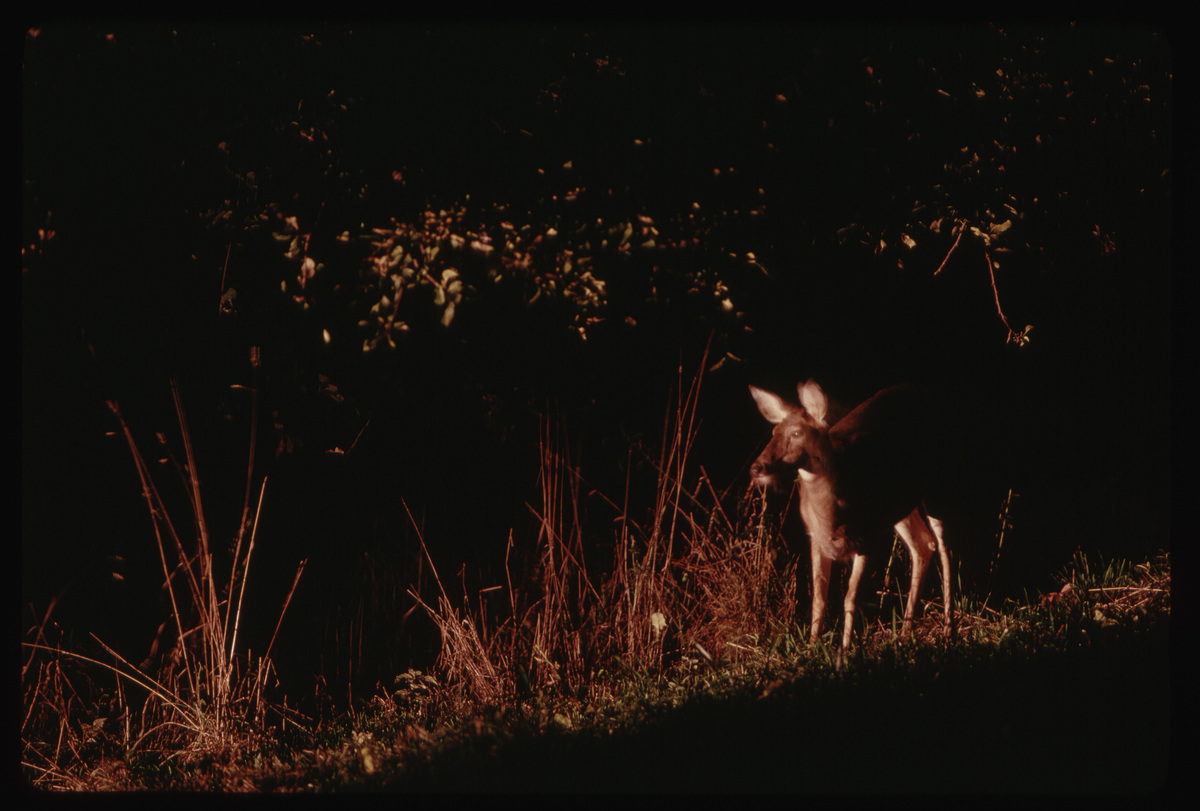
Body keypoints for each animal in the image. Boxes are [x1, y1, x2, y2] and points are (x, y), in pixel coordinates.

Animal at [744, 383, 950, 657]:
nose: (756, 467)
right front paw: (812, 647)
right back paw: (906, 634)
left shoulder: (866, 537)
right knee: (923, 544)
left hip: (935, 486)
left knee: (944, 546)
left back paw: (949, 630)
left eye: (797, 433)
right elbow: (819, 598)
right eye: (774, 431)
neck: (832, 517)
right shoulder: (816, 540)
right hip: (900, 507)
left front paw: (844, 650)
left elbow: (850, 598)